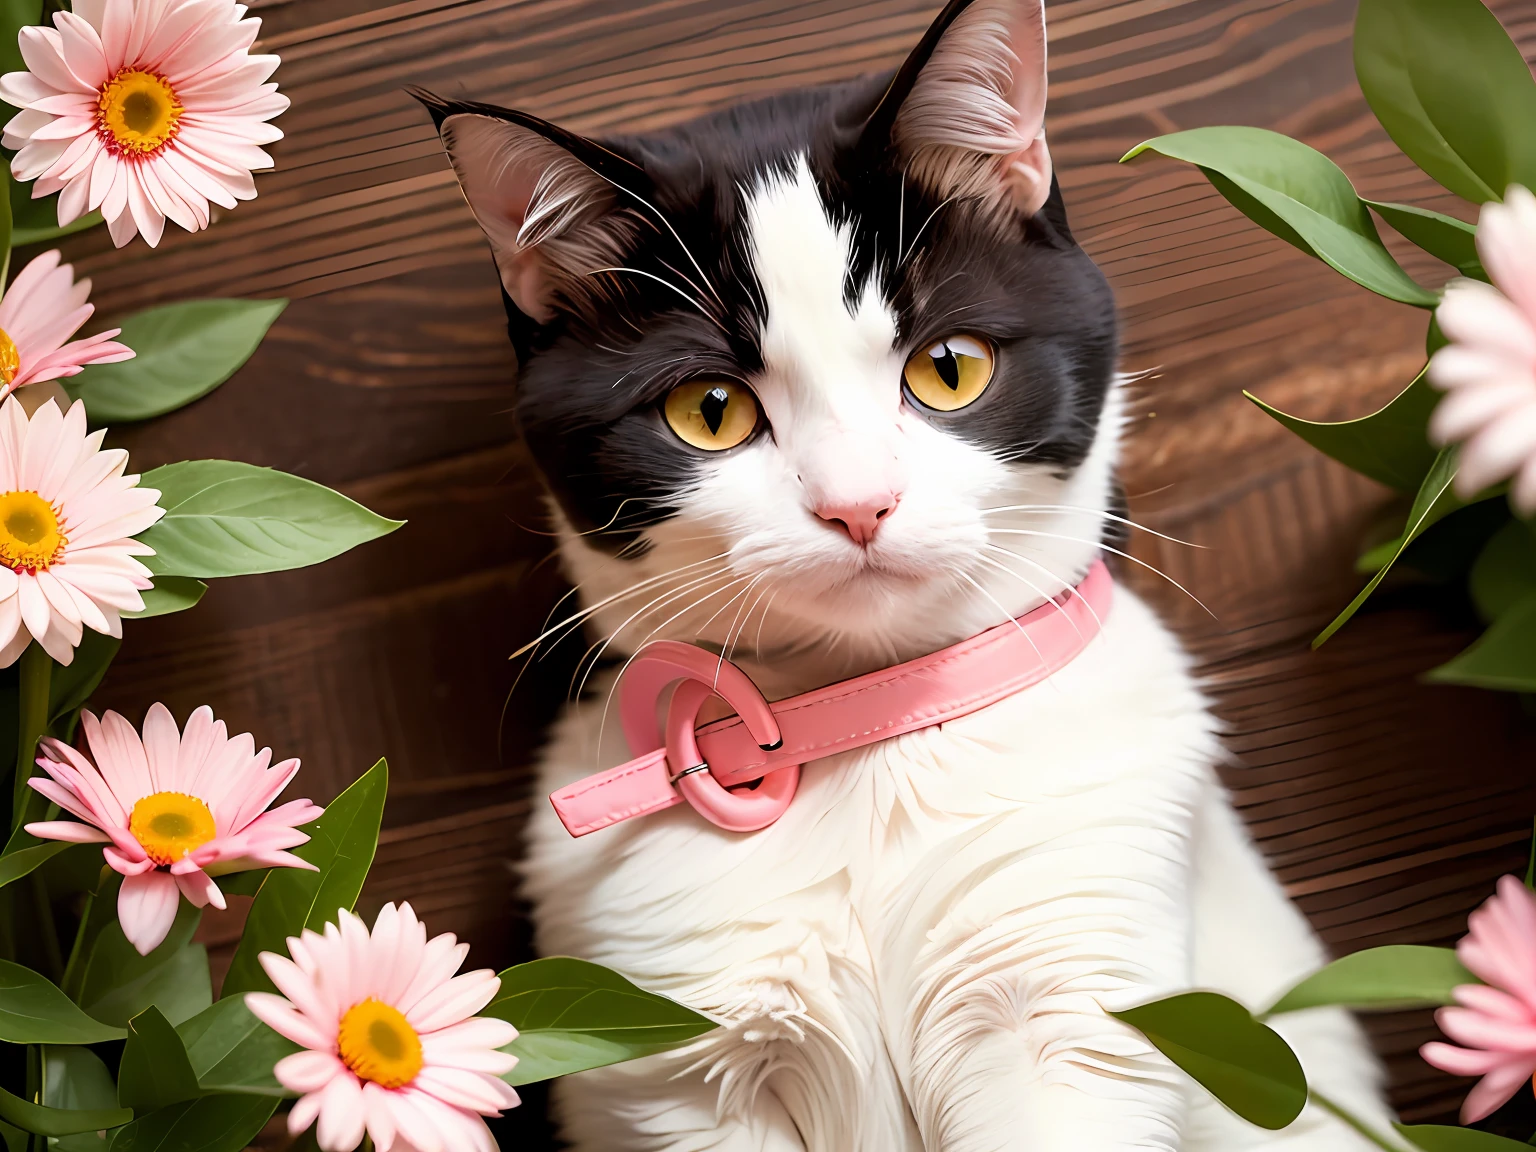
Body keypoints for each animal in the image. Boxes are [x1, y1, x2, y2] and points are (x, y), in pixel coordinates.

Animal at [420, 4, 1406, 1148]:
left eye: (949, 368)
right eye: (708, 411)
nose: (860, 504)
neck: (868, 727)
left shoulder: (1076, 994)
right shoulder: (668, 1065)